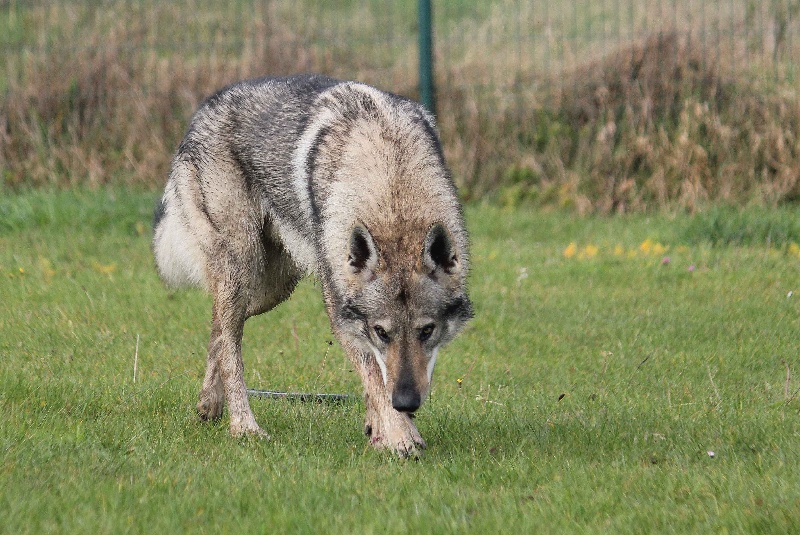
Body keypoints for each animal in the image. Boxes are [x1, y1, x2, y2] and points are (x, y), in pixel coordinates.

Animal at [153, 74, 472, 456]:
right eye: (381, 332)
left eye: (427, 331)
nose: (407, 402)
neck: (393, 189)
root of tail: (204, 109)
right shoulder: (340, 310)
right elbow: (375, 377)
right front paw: (400, 436)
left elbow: (376, 381)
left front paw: (380, 431)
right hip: (243, 268)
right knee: (231, 346)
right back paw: (244, 427)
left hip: (268, 291)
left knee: (219, 327)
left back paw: (208, 404)